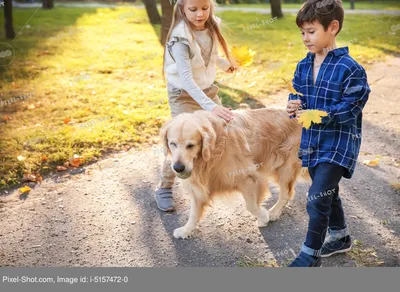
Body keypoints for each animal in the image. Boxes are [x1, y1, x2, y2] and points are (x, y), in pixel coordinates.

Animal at [159, 108, 306, 238]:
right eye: (172, 144)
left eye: (190, 145)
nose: (178, 168)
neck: (214, 151)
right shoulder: (198, 185)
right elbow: (194, 213)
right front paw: (186, 230)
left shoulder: (249, 177)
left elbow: (251, 206)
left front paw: (264, 218)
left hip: (286, 167)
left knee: (286, 194)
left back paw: (274, 212)